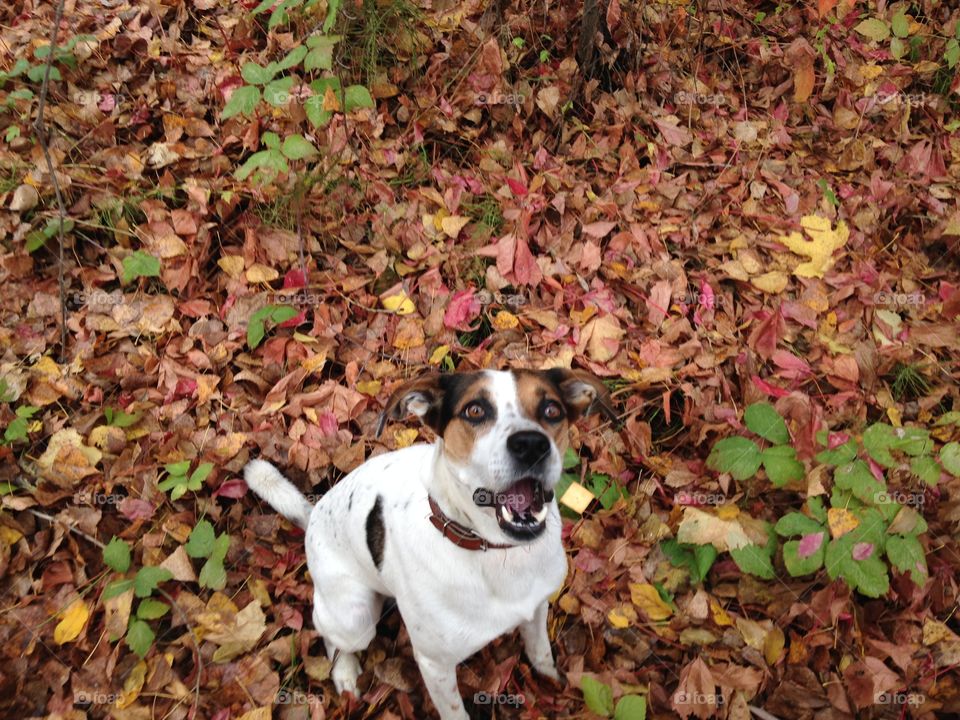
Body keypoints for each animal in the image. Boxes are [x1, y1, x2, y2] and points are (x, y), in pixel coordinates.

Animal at [242, 368, 616, 716]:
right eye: (475, 410)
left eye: (552, 410)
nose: (531, 445)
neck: (492, 551)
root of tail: (313, 515)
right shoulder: (435, 664)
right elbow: (454, 712)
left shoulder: (537, 607)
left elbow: (540, 651)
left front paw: (552, 680)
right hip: (354, 615)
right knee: (329, 634)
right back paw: (345, 673)